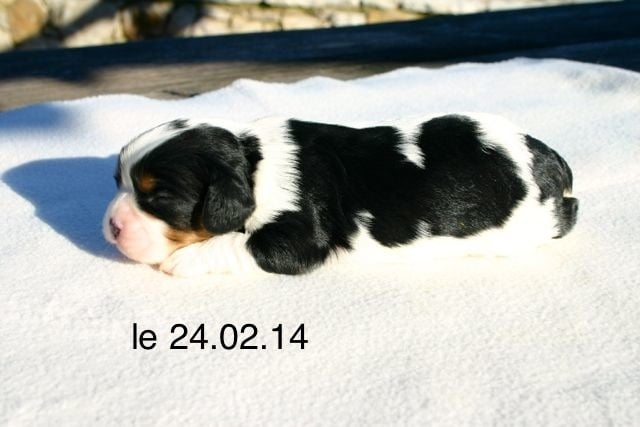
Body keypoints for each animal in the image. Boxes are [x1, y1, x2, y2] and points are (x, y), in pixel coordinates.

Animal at [102, 114, 578, 277]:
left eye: (159, 198)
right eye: (118, 180)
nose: (111, 226)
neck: (252, 162)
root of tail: (550, 159)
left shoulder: (300, 236)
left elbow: (243, 242)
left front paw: (183, 259)